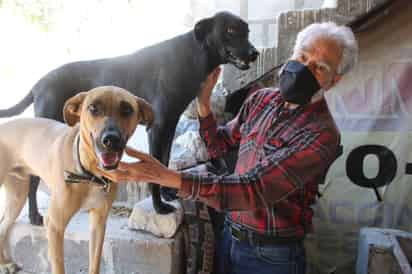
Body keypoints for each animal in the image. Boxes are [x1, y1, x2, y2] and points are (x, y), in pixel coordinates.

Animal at [0, 11, 258, 224]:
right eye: (230, 31)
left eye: (247, 31)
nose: (254, 53)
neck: (193, 55)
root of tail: (38, 84)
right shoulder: (158, 127)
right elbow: (155, 168)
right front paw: (159, 206)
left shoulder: (169, 125)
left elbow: (164, 160)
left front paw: (168, 192)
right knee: (33, 179)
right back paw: (34, 216)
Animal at [0, 84, 154, 272]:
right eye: (93, 108)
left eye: (127, 109)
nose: (111, 140)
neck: (90, 174)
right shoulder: (55, 225)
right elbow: (59, 267)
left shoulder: (98, 222)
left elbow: (94, 263)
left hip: (17, 196)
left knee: (2, 227)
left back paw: (5, 263)